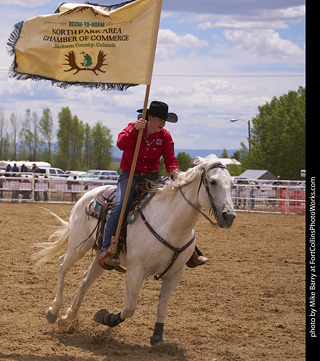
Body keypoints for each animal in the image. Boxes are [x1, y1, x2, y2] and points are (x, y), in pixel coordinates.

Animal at [33, 153, 236, 344]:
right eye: (213, 181)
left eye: (232, 184)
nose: (229, 216)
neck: (170, 223)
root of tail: (87, 195)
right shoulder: (135, 271)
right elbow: (129, 309)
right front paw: (104, 317)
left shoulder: (175, 274)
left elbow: (162, 308)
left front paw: (157, 337)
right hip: (79, 246)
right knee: (62, 266)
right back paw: (53, 311)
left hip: (101, 258)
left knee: (85, 281)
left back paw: (67, 318)